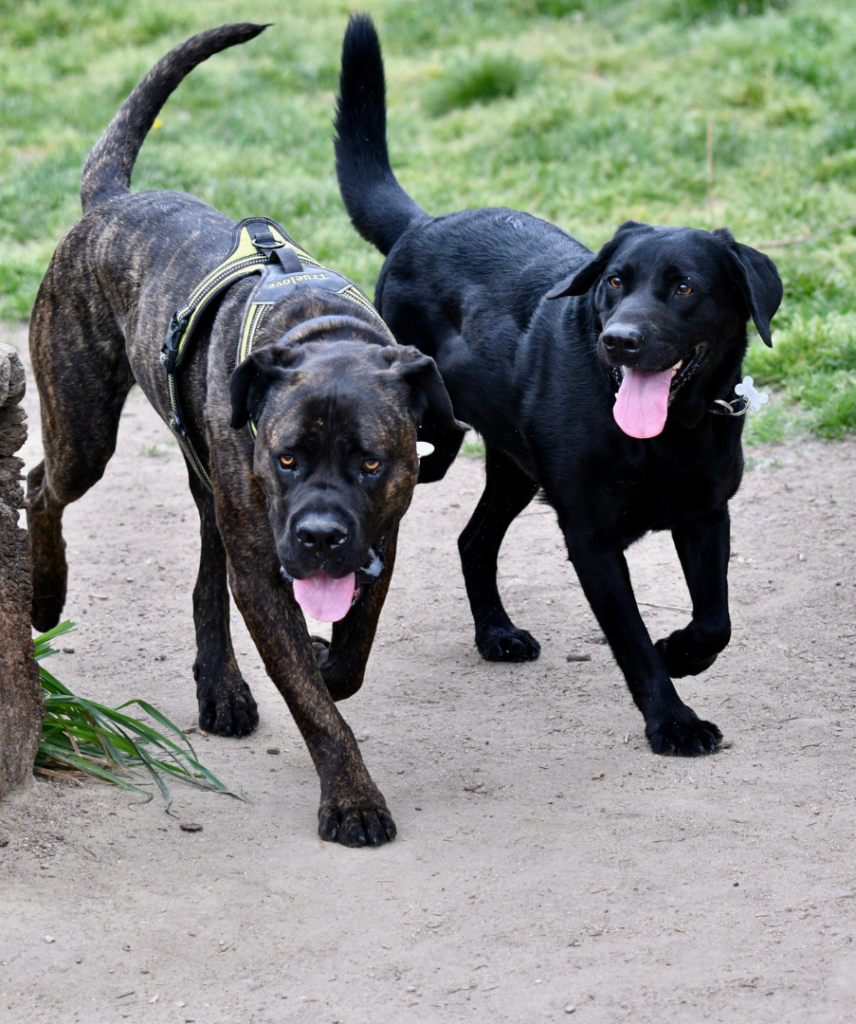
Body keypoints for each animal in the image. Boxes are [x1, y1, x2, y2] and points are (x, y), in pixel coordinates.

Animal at [26, 24, 464, 847]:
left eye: (370, 463)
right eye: (287, 457)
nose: (320, 535)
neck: (322, 330)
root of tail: (113, 200)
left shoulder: (378, 540)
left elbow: (351, 654)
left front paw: (328, 660)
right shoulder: (265, 569)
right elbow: (319, 710)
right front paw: (351, 799)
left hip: (207, 479)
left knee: (205, 575)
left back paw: (221, 687)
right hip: (86, 430)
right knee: (42, 486)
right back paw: (43, 593)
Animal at [333, 12, 782, 757]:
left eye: (684, 287)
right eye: (615, 282)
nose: (619, 340)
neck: (668, 433)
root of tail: (421, 226)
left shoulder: (705, 513)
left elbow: (714, 619)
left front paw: (685, 651)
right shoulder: (591, 538)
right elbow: (633, 643)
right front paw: (673, 721)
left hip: (515, 468)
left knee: (474, 541)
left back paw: (495, 633)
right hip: (430, 446)